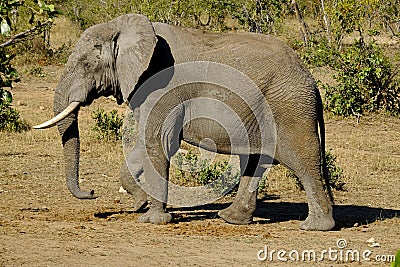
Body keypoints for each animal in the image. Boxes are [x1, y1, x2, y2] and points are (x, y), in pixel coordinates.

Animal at [35, 13, 334, 230]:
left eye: (87, 65)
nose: (92, 191)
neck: (125, 29)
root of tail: (311, 80)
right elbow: (149, 144)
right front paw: (139, 204)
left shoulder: (162, 86)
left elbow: (159, 142)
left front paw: (151, 220)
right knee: (255, 160)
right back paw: (230, 218)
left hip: (289, 107)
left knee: (302, 160)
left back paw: (314, 226)